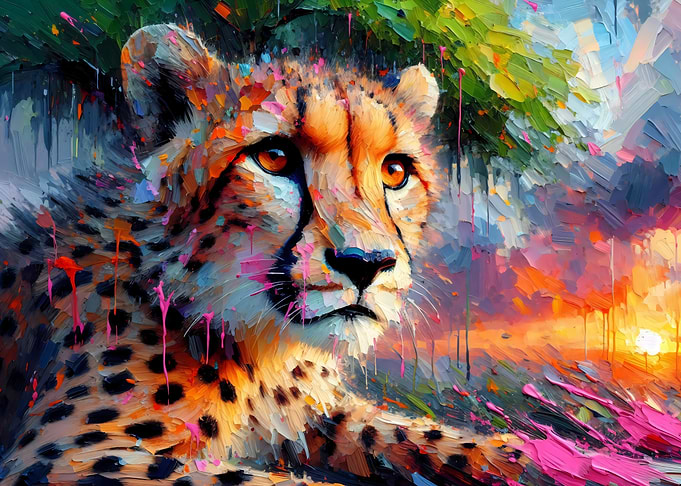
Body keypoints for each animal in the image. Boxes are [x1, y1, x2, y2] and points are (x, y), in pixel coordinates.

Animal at [0, 24, 524, 486]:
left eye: (395, 171)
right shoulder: (66, 456)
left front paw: (519, 456)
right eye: (274, 158)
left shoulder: (314, 408)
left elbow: (391, 426)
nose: (367, 263)